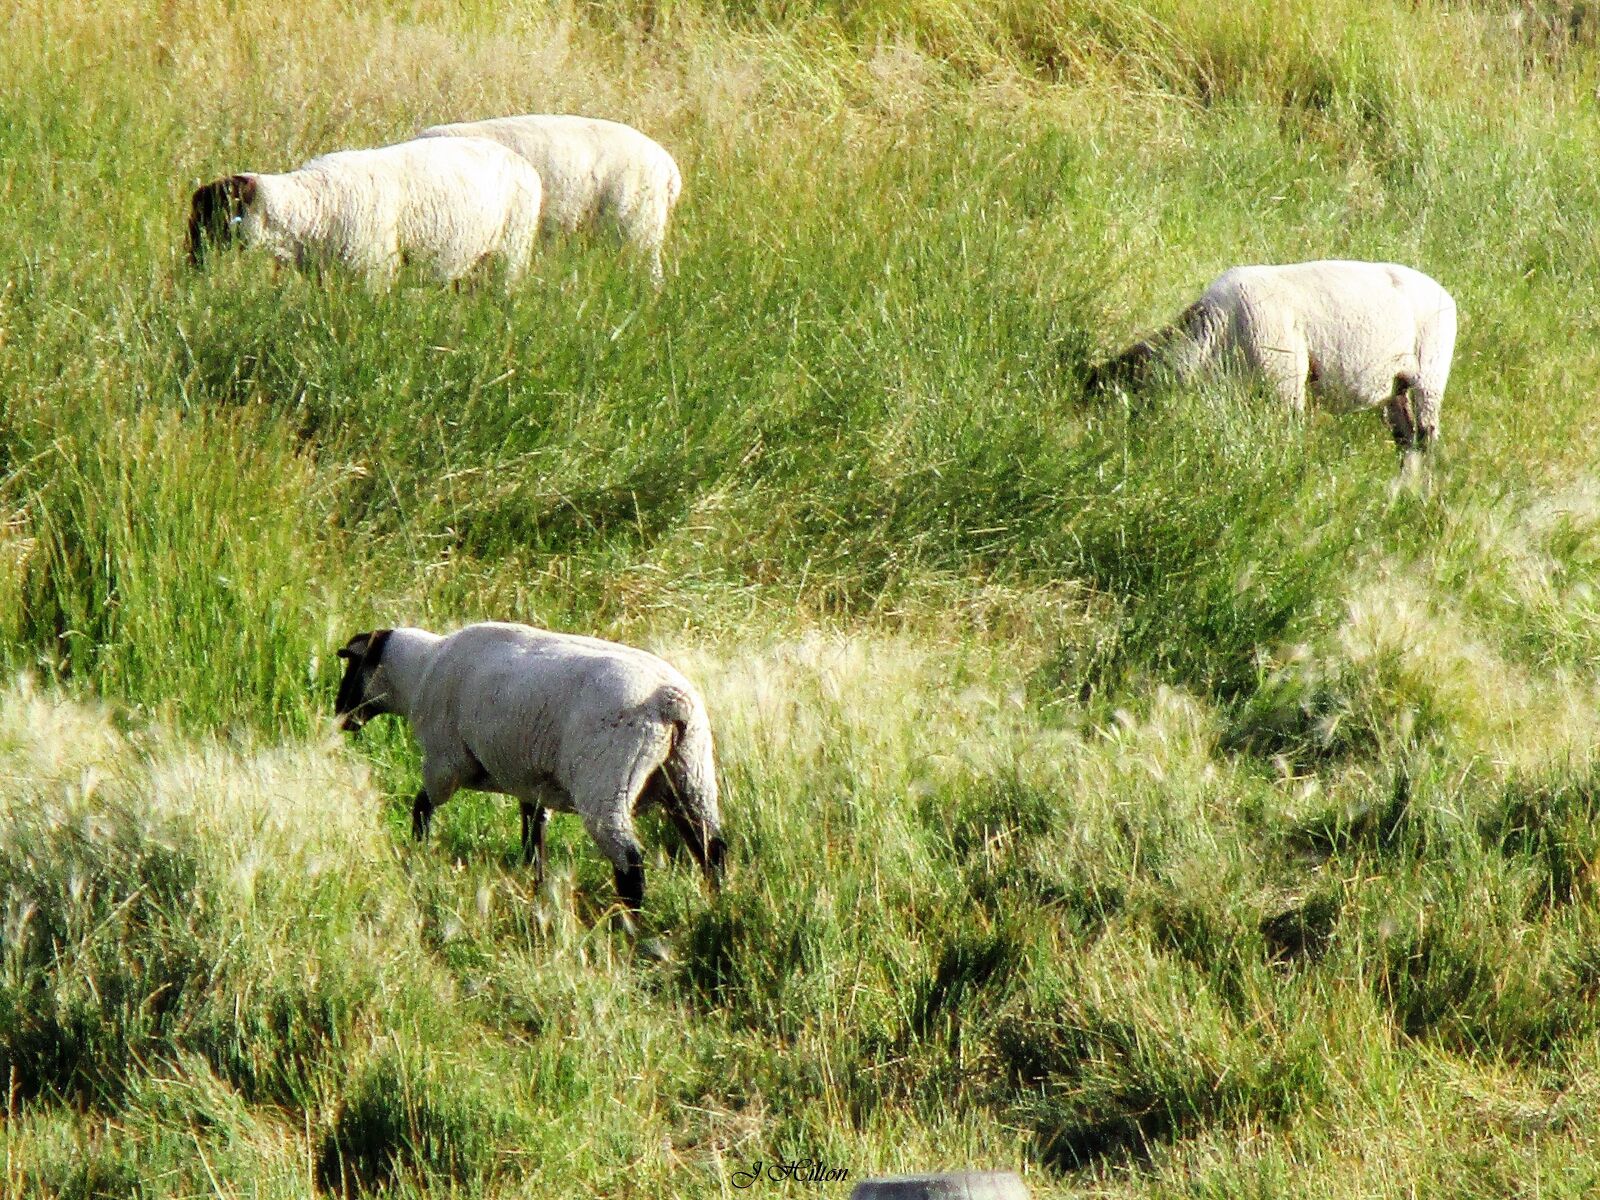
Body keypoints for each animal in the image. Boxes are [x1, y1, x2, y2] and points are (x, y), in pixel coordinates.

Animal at [187, 136, 544, 286]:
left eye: (220, 217)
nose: (192, 264)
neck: (314, 204)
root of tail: (526, 165)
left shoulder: (375, 271)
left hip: (511, 253)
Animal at [334, 624, 729, 915]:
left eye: (351, 667)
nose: (339, 714)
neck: (420, 672)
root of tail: (670, 702)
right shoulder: (530, 782)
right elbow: (533, 835)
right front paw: (534, 885)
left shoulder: (445, 763)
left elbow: (421, 807)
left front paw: (415, 855)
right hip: (691, 775)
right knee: (712, 848)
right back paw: (717, 903)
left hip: (606, 783)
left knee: (630, 861)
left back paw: (628, 925)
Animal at [1094, 260, 1459, 454]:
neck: (1217, 327)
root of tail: (1445, 293)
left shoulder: (1285, 384)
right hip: (1396, 387)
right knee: (1407, 442)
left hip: (1431, 373)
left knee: (1426, 437)